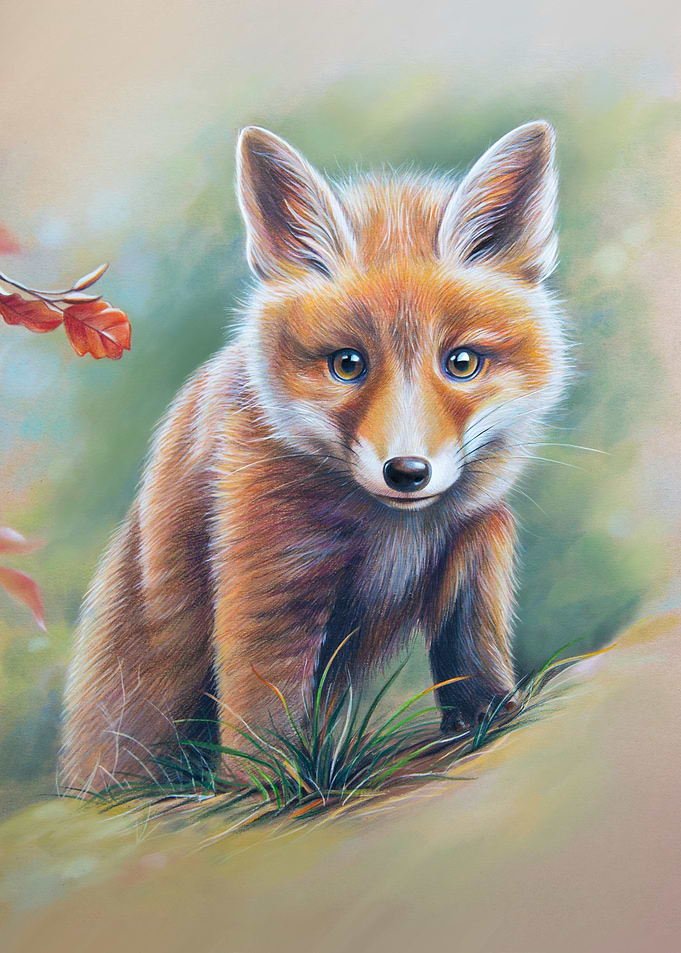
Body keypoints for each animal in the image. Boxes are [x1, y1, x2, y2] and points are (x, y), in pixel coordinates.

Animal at [60, 119, 568, 791]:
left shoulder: (477, 525)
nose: (408, 472)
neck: (391, 532)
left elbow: (470, 628)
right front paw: (276, 786)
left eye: (462, 363)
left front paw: (486, 709)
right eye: (347, 364)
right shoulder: (267, 571)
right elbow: (264, 712)